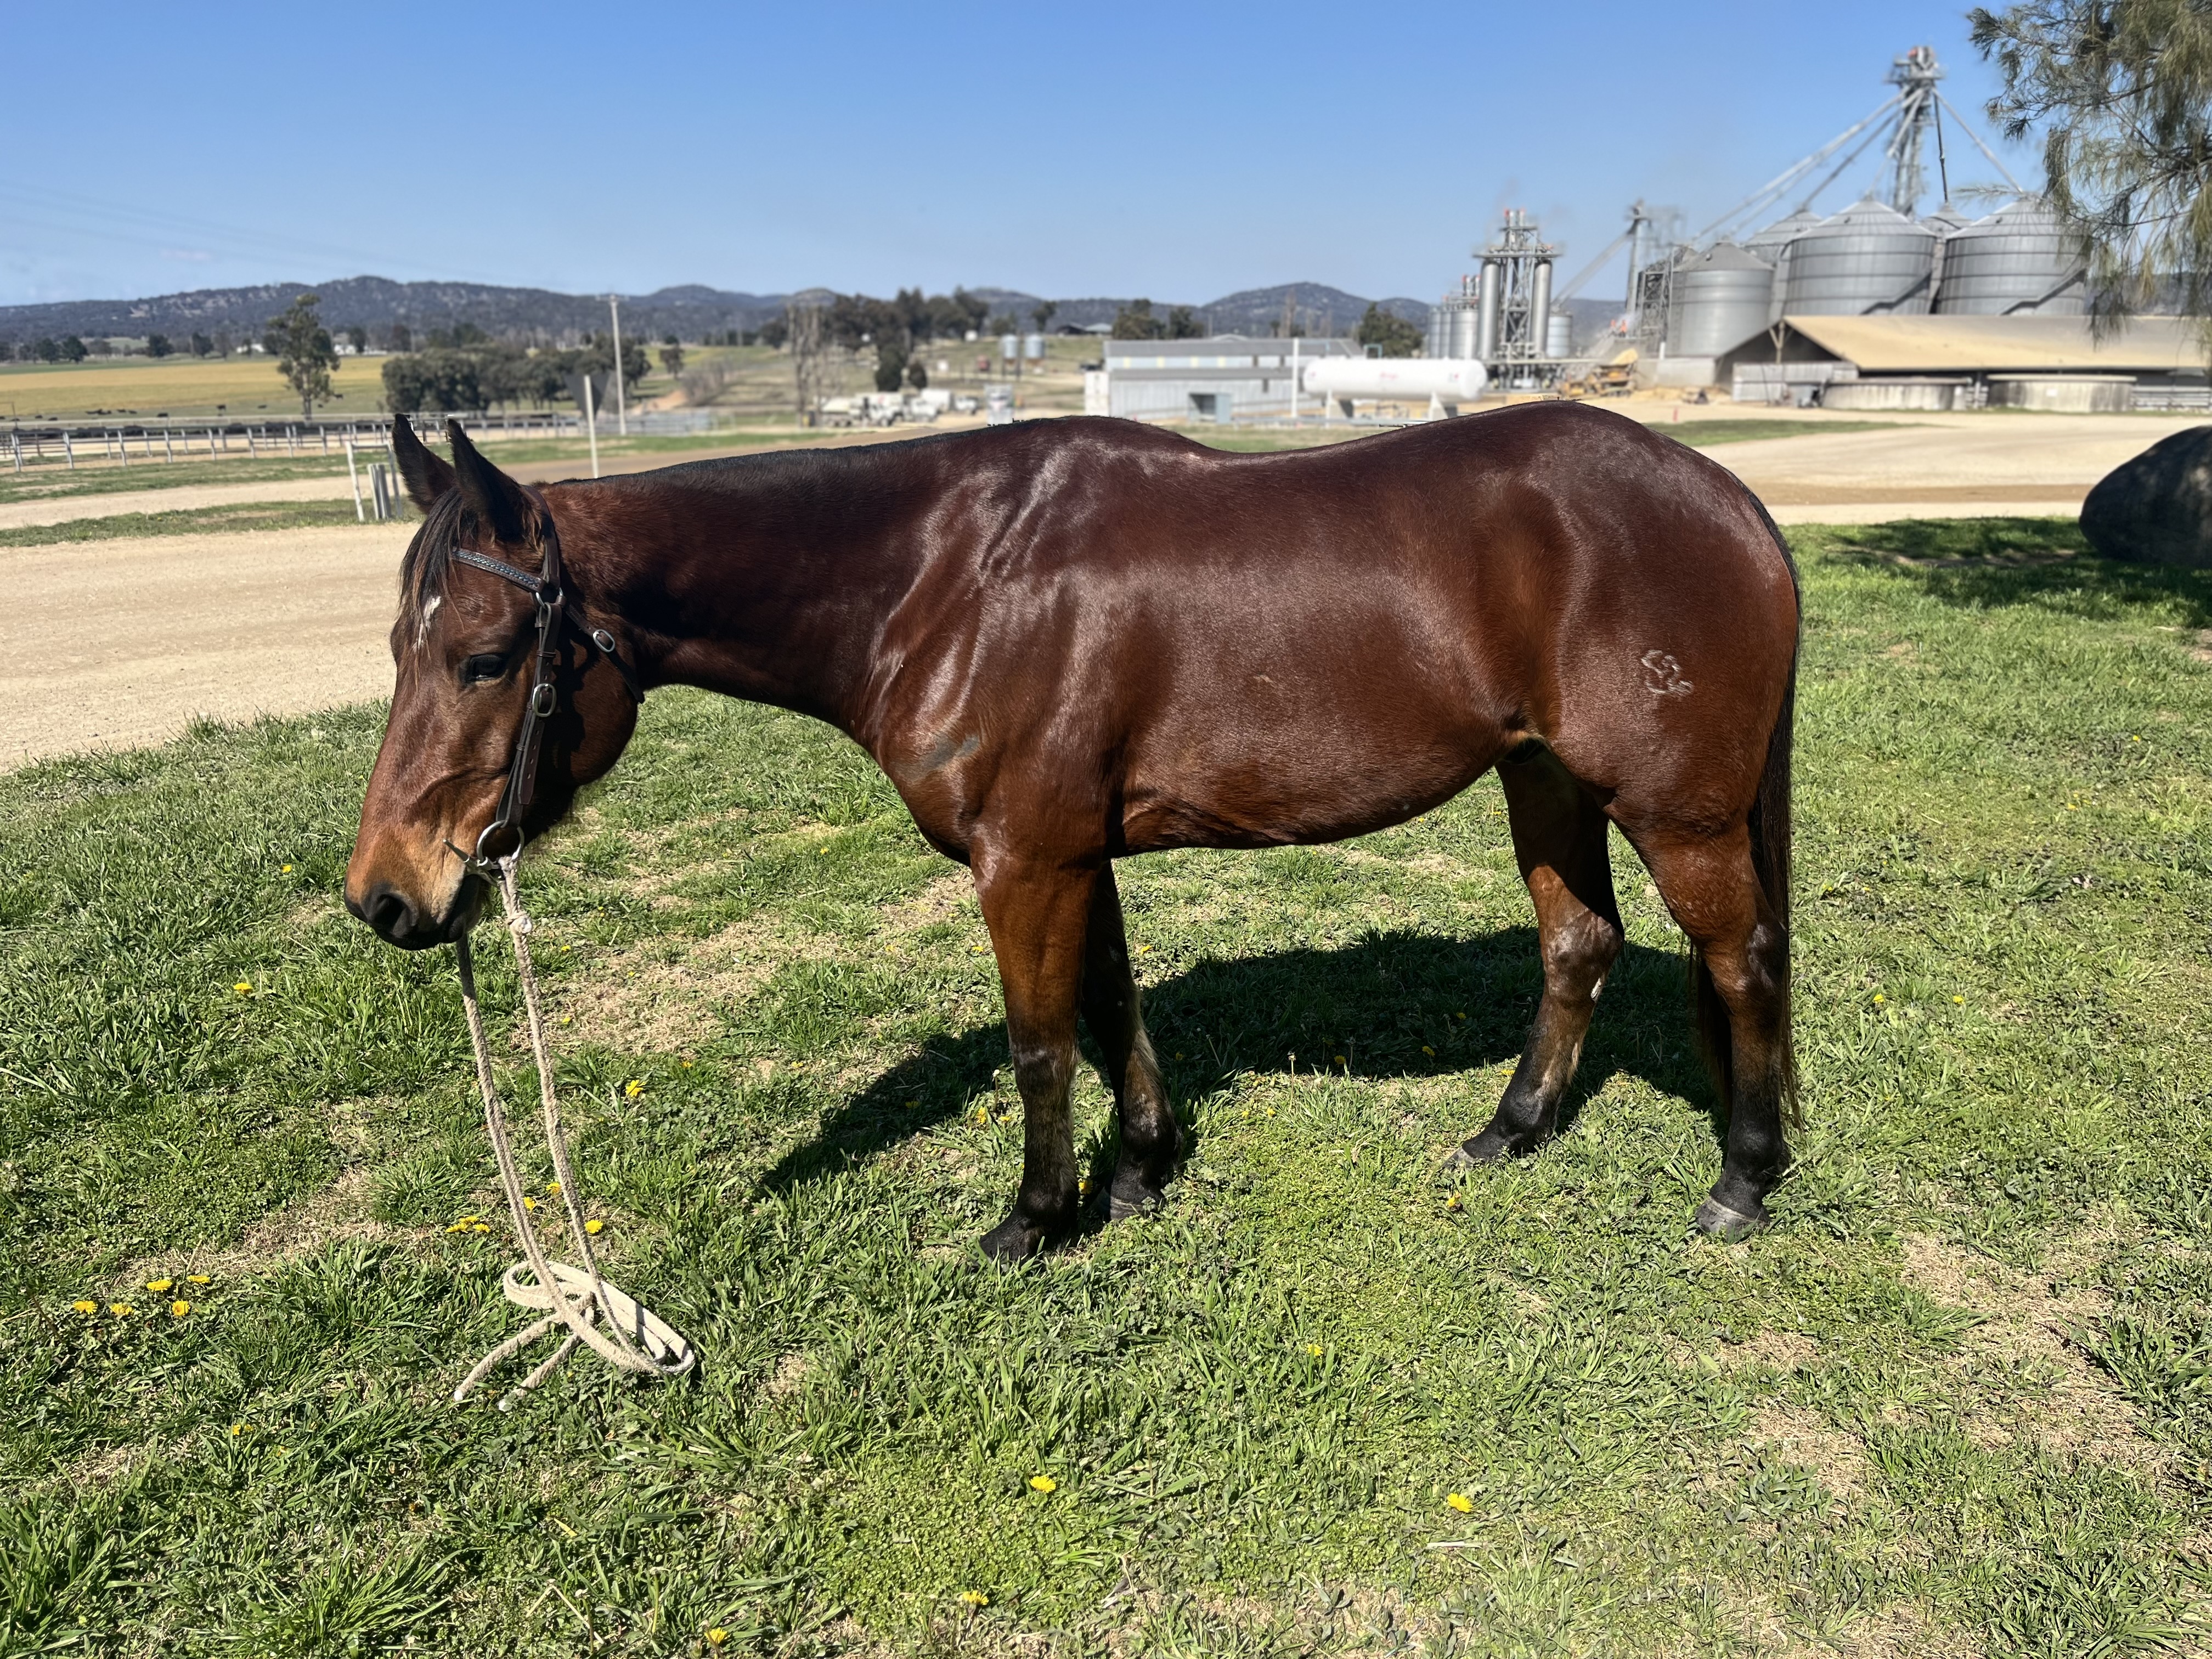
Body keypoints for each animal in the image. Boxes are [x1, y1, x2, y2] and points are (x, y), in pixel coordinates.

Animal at [345, 407, 1800, 1259]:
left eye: (484, 658)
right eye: (396, 646)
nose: (383, 898)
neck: (947, 575)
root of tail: (1733, 500)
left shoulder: (1025, 861)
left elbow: (1040, 1042)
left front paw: (1038, 1218)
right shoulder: (1076, 853)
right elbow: (1110, 1008)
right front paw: (1143, 1172)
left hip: (1678, 816)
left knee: (1743, 966)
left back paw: (1744, 1179)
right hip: (1543, 782)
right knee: (1579, 946)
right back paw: (1513, 1128)